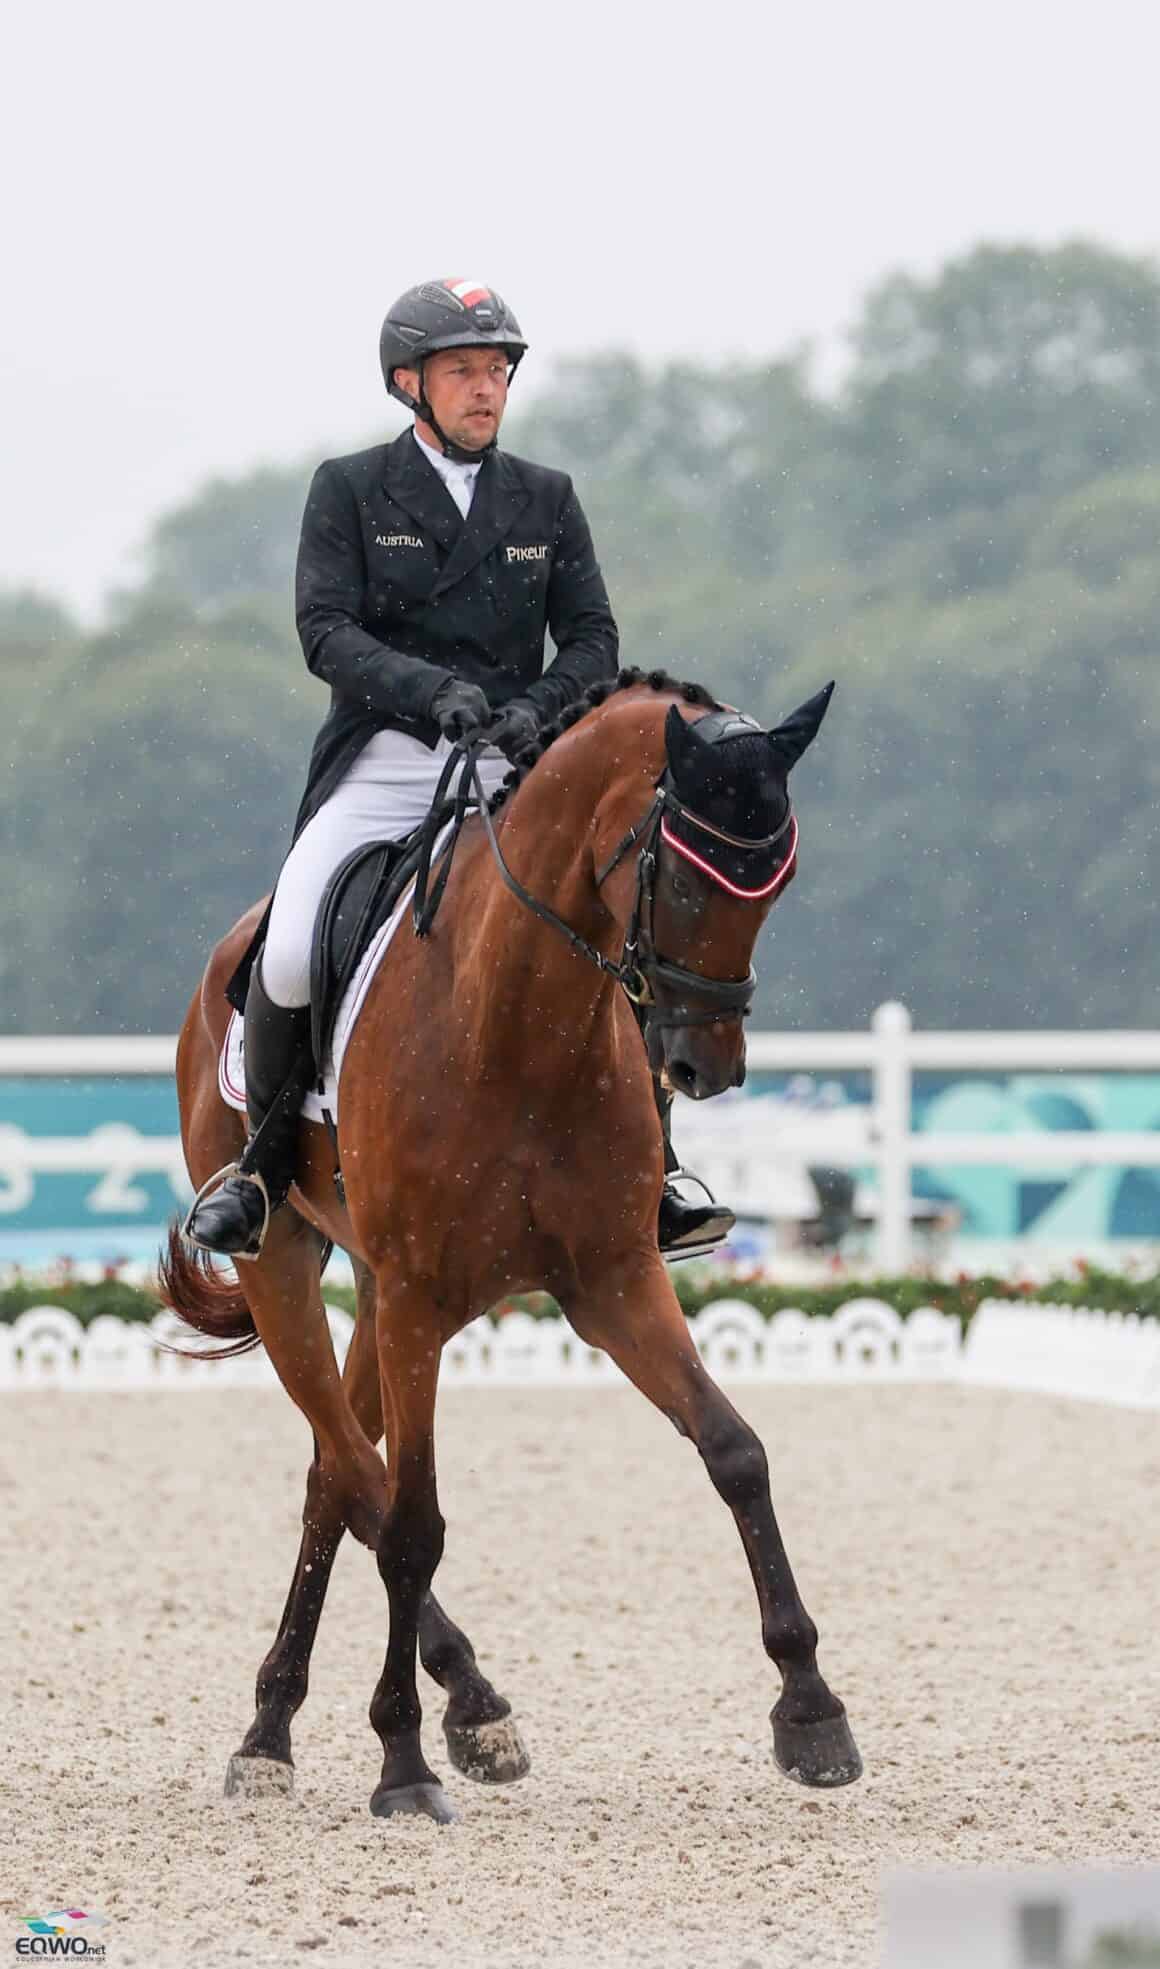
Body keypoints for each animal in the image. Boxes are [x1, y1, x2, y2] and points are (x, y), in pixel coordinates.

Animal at [158, 669, 858, 1819]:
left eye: (776, 884)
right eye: (684, 872)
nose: (705, 1066)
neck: (522, 1016)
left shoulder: (613, 1282)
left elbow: (734, 1452)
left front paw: (810, 1710)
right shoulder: (417, 1299)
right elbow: (413, 1524)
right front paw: (402, 1765)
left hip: (379, 1294)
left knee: (331, 1472)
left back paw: (294, 1722)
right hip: (294, 1270)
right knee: (358, 1473)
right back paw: (422, 1710)